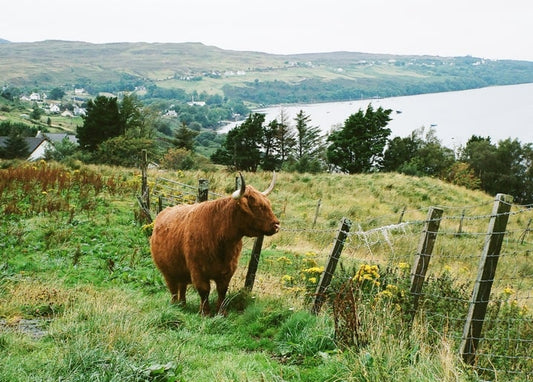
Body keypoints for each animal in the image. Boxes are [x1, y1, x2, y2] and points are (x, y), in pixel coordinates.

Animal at [150, 172, 278, 314]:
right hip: (168, 270)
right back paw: (175, 305)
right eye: (258, 206)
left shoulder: (228, 270)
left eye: (268, 204)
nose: (276, 225)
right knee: (173, 288)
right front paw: (205, 313)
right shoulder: (198, 270)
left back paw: (182, 305)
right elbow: (204, 291)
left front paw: (221, 312)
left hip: (181, 269)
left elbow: (222, 291)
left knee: (182, 287)